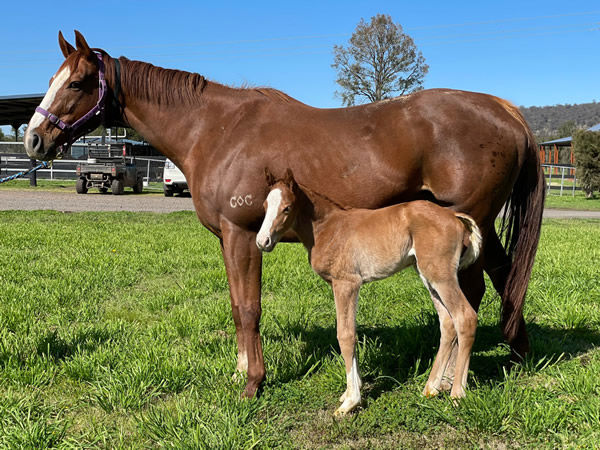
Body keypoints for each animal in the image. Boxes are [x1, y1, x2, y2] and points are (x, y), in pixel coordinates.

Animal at [255, 171, 480, 416]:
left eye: (286, 208)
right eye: (265, 205)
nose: (262, 241)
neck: (328, 228)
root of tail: (454, 216)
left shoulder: (346, 284)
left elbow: (345, 335)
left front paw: (350, 401)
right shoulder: (345, 286)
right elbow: (352, 332)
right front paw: (351, 391)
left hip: (441, 276)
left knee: (465, 317)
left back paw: (457, 395)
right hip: (427, 276)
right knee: (447, 323)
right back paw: (430, 388)